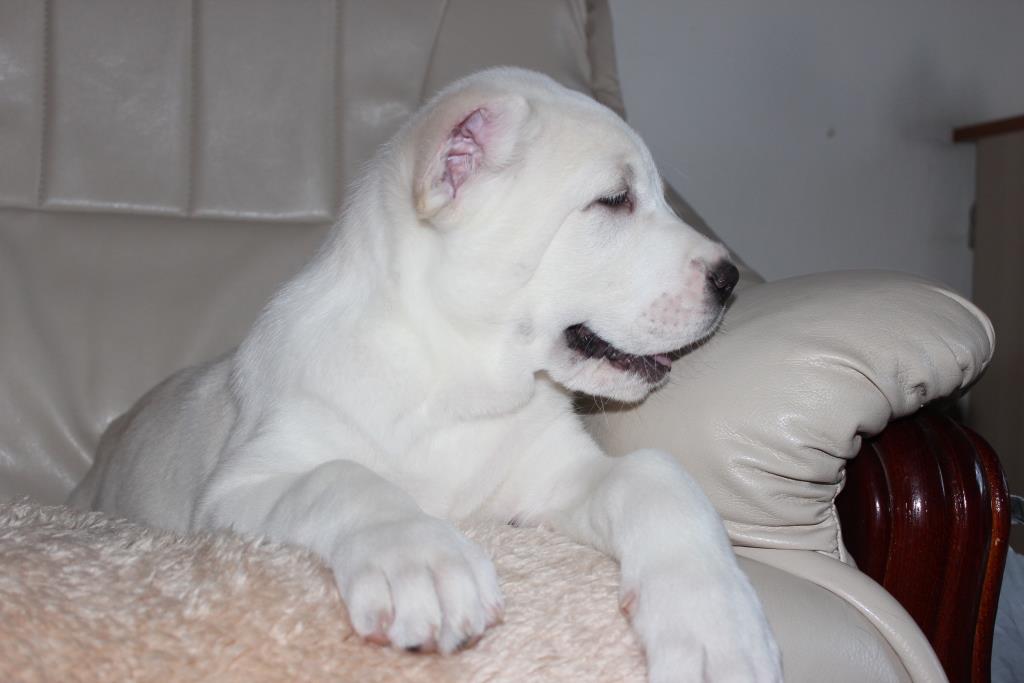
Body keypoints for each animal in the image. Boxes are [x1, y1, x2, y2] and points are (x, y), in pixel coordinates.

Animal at [70, 67, 781, 682]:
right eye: (613, 200)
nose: (730, 280)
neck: (452, 378)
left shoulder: (551, 478)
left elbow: (656, 476)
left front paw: (717, 623)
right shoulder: (238, 489)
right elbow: (339, 477)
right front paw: (420, 557)